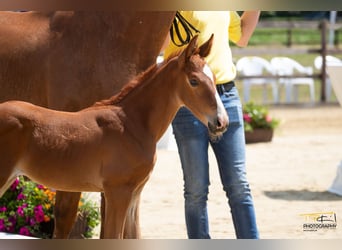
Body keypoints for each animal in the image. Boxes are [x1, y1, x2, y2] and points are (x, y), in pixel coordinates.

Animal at [0, 35, 230, 238]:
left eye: (215, 78)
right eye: (194, 81)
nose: (221, 122)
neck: (131, 125)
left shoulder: (135, 193)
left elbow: (134, 236)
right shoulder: (118, 192)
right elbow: (114, 236)